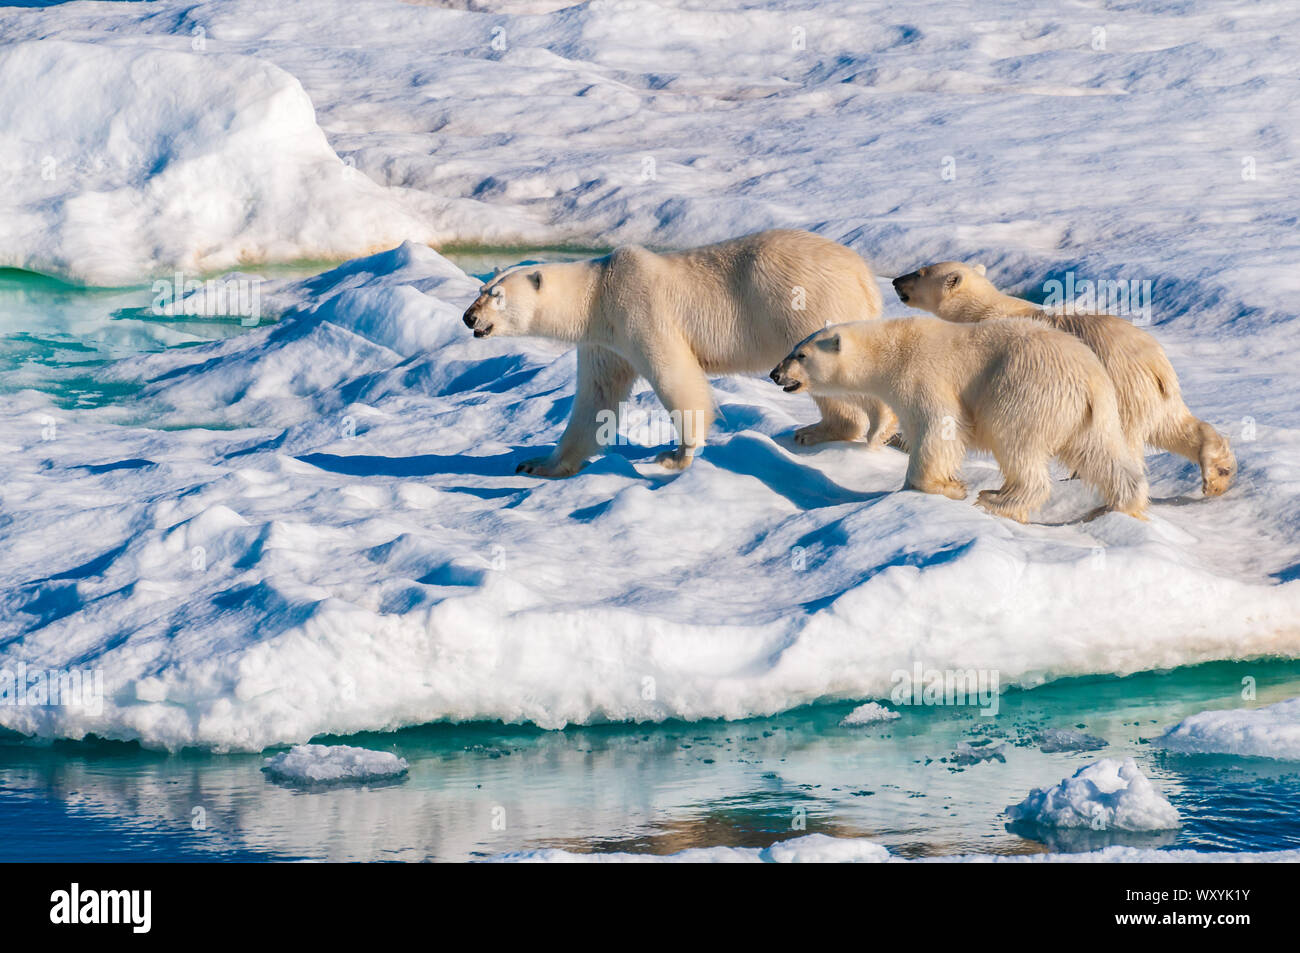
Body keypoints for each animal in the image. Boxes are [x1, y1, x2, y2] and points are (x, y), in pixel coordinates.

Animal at [461, 229, 896, 477]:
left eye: (496, 296)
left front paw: (676, 457)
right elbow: (595, 398)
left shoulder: (640, 310)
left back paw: (833, 430)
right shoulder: (604, 340)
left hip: (806, 306)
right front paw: (539, 464)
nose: (468, 317)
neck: (599, 293)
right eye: (481, 289)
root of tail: (864, 276)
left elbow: (675, 378)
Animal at [769, 317, 1150, 523]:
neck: (890, 348)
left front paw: (947, 487)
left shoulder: (922, 374)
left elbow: (939, 425)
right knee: (1102, 454)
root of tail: (1089, 379)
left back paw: (997, 499)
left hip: (1023, 390)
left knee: (1015, 442)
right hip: (1093, 414)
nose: (775, 373)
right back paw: (1119, 506)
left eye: (800, 354)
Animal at [891, 261, 1236, 497]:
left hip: (1119, 386)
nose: (895, 280)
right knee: (1174, 426)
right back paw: (1218, 472)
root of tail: (1155, 363)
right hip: (1155, 393)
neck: (986, 309)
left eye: (920, 272)